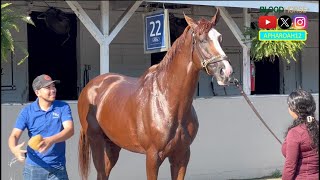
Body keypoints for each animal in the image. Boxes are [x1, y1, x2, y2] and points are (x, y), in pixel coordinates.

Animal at [77, 9, 232, 180]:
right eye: (202, 40)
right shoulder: (152, 157)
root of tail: (91, 86)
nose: (226, 72)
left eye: (220, 38)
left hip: (113, 145)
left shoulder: (182, 155)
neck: (168, 103)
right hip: (96, 141)